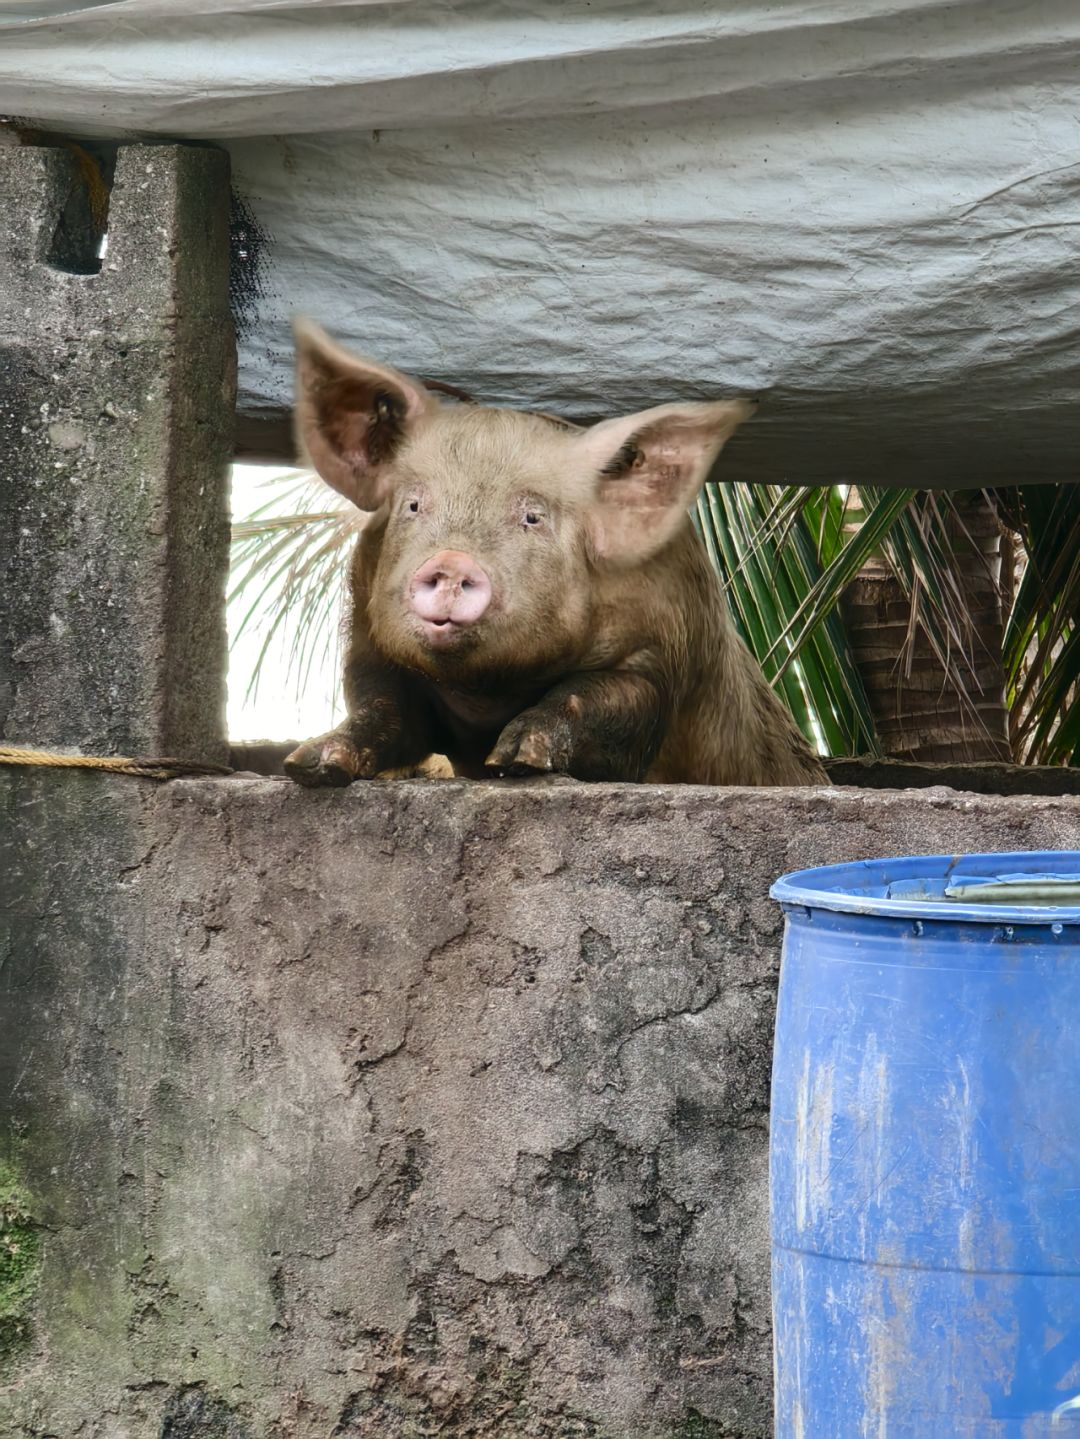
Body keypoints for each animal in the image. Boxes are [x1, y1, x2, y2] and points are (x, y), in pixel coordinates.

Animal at [280, 322, 828, 788]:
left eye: (533, 517)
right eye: (414, 504)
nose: (452, 561)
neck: (487, 693)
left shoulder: (666, 642)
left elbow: (598, 698)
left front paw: (516, 760)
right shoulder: (368, 636)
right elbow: (380, 708)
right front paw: (309, 764)